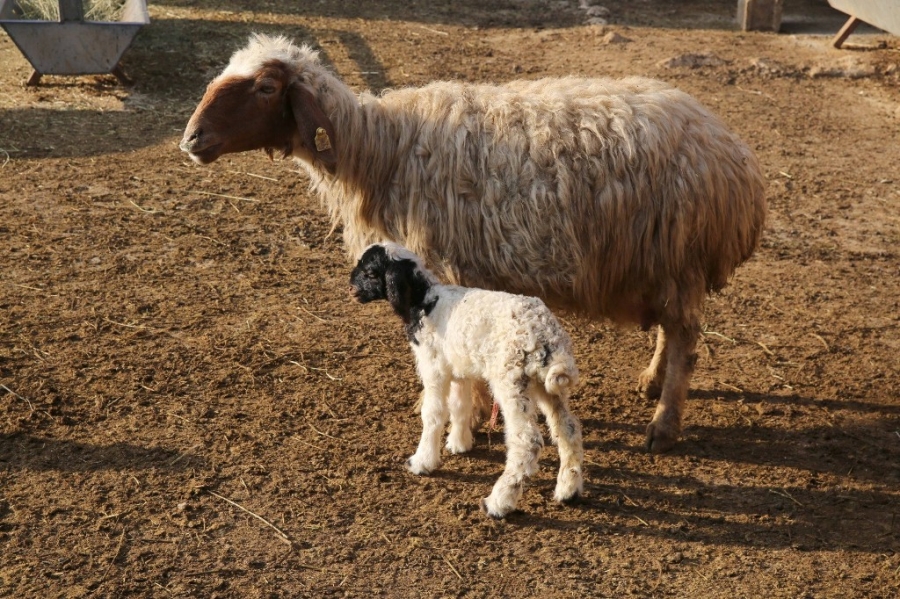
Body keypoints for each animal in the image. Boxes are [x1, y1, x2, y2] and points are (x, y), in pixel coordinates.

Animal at [181, 32, 768, 452]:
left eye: (265, 87)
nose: (191, 139)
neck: (381, 148)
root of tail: (733, 158)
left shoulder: (451, 265)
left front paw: (477, 416)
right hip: (663, 262)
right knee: (671, 329)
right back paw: (650, 380)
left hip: (679, 252)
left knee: (686, 342)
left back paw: (662, 425)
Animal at [344, 241, 584, 516]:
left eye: (370, 272)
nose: (350, 288)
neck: (424, 302)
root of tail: (547, 335)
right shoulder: (459, 370)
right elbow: (460, 406)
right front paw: (459, 443)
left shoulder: (434, 367)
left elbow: (434, 413)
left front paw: (421, 461)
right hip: (546, 385)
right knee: (568, 428)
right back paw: (568, 489)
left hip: (510, 379)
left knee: (527, 441)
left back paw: (498, 502)